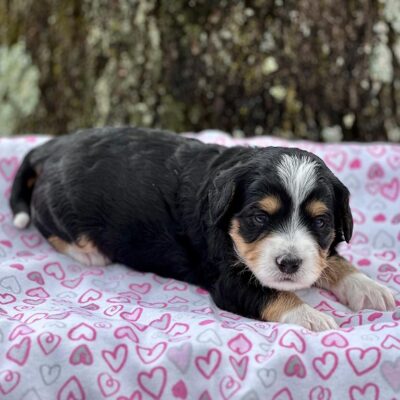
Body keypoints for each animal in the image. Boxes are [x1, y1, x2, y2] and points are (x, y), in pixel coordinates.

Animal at [8, 126, 394, 330]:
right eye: (259, 218)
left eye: (320, 222)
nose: (289, 264)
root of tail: (52, 147)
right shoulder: (228, 281)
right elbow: (274, 294)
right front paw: (312, 317)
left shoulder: (318, 251)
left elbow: (331, 260)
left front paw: (369, 287)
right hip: (57, 209)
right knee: (46, 226)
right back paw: (87, 253)